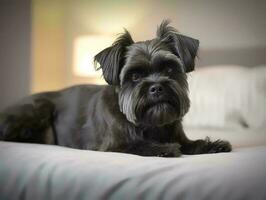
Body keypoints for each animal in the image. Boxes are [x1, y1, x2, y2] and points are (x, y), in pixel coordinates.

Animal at [0, 21, 231, 157]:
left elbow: (190, 143)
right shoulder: (114, 145)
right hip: (39, 108)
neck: (151, 125)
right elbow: (139, 145)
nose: (156, 87)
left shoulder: (179, 136)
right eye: (135, 76)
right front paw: (163, 149)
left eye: (169, 69)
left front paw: (213, 145)